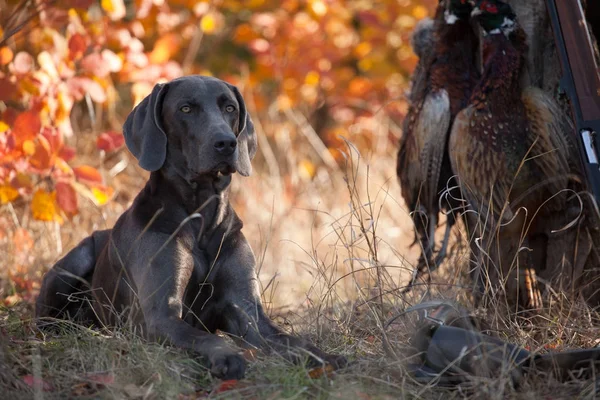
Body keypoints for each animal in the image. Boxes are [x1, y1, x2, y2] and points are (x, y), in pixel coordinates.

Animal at [36, 74, 346, 378]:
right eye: (186, 108)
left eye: (230, 108)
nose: (226, 143)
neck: (202, 217)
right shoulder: (161, 314)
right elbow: (206, 338)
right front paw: (227, 357)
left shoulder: (247, 310)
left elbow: (290, 340)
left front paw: (324, 357)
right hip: (73, 263)